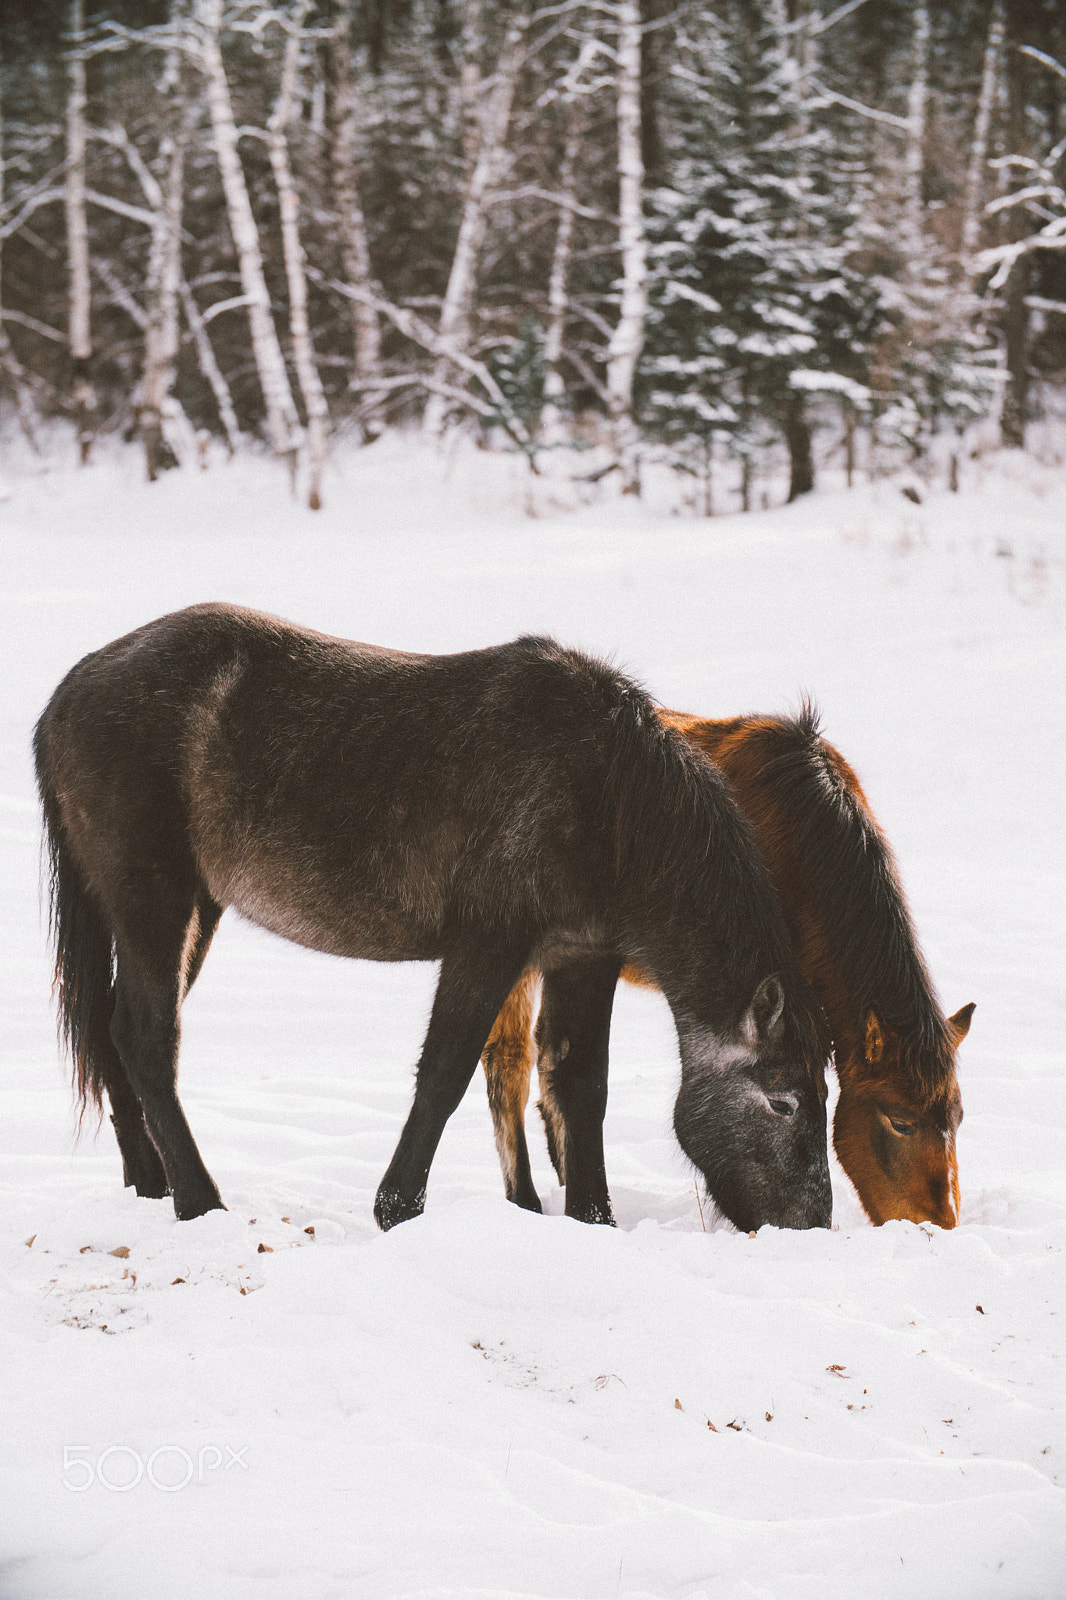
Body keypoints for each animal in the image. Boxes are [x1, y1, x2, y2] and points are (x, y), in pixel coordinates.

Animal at [35, 604, 832, 1228]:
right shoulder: (488, 943)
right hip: (154, 901)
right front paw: (397, 1209)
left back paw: (149, 1185)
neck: (609, 798)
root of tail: (69, 692)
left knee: (114, 1033)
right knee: (146, 1039)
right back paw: (200, 1201)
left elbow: (580, 1086)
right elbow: (446, 1071)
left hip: (190, 910)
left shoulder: (583, 955)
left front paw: (593, 1220)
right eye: (785, 1102)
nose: (809, 1224)